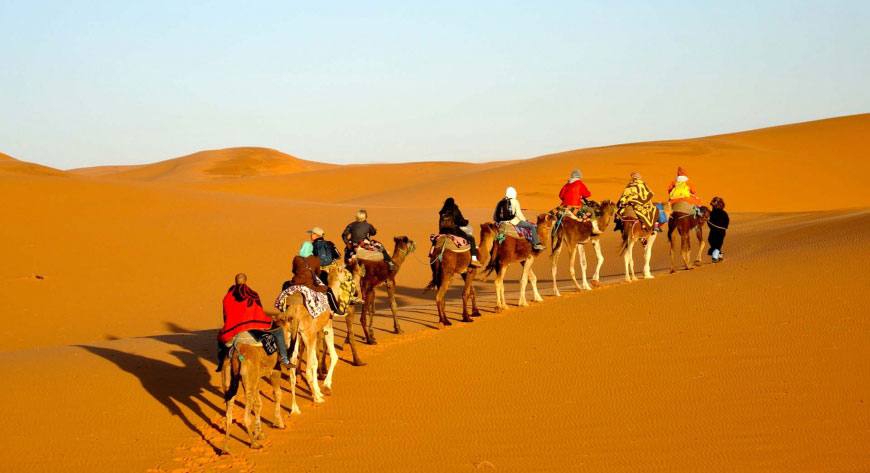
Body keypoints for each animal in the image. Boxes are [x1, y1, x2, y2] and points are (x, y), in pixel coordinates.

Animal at [221, 312, 292, 452]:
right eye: (290, 330)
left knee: (229, 412)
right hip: (248, 377)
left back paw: (225, 448)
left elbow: (258, 404)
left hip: (229, 378)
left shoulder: (257, 377)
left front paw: (259, 433)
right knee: (246, 415)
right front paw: (279, 423)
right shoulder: (274, 370)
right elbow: (277, 395)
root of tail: (236, 353)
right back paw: (254, 444)